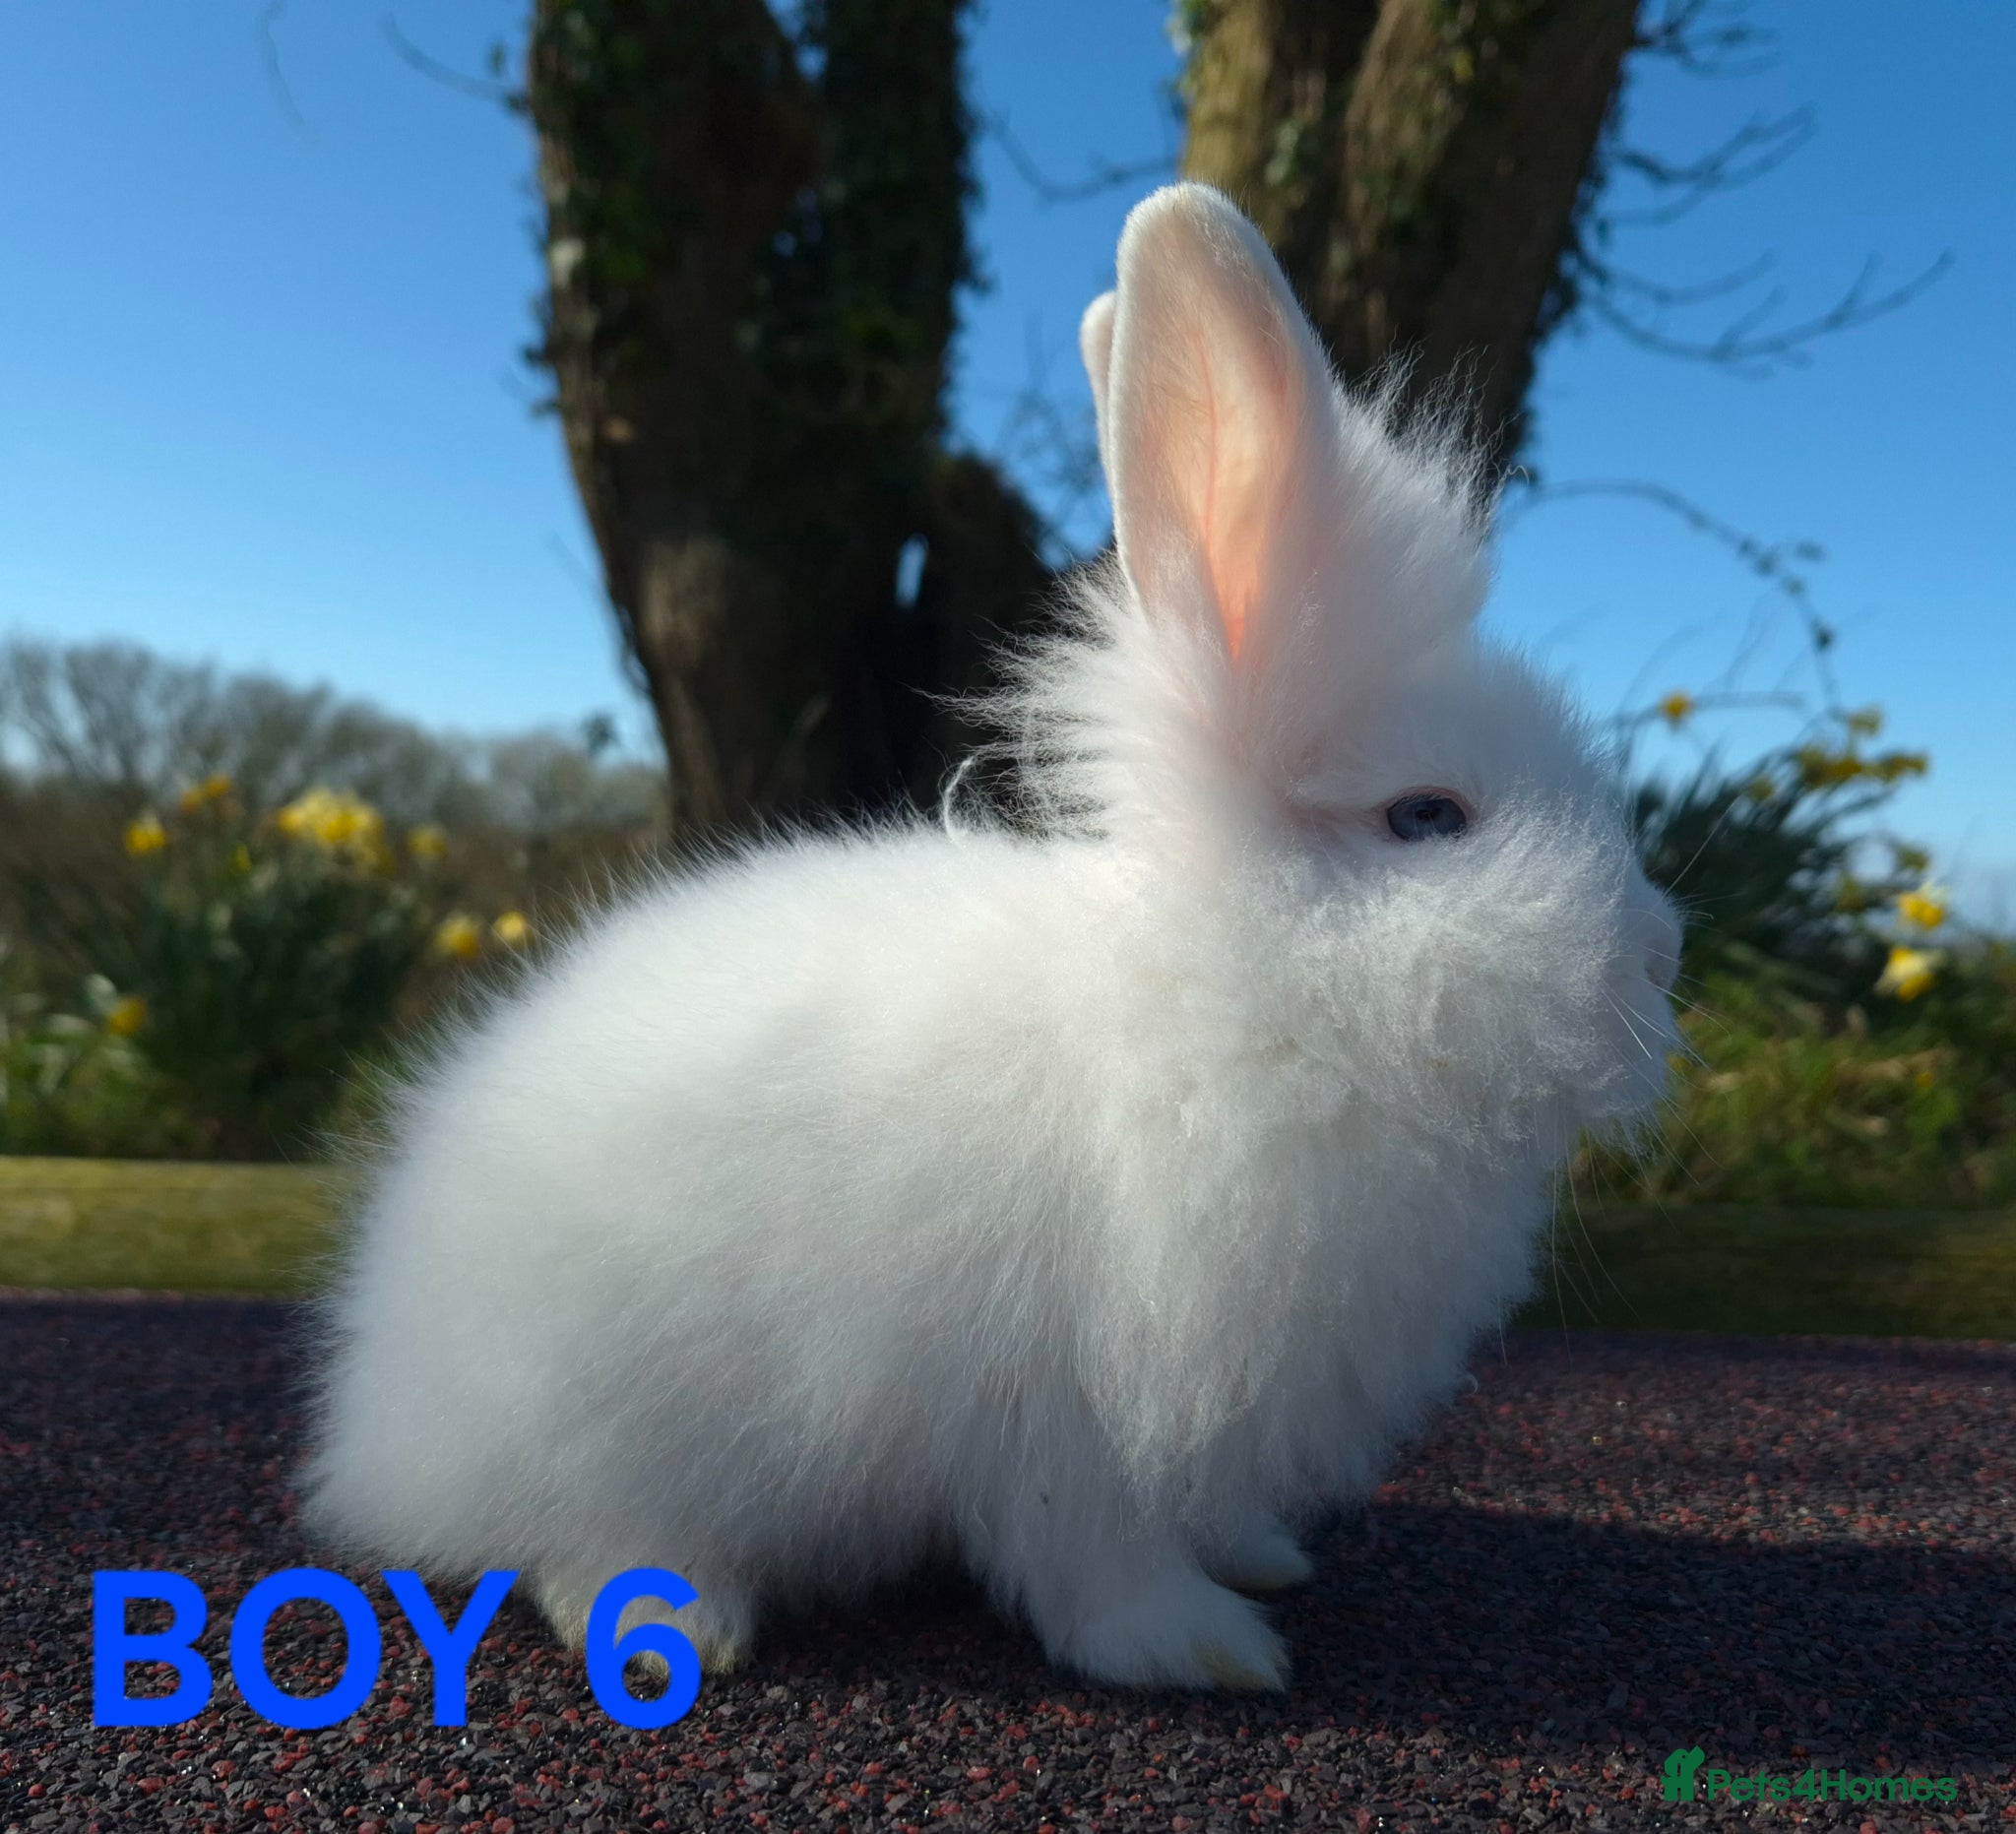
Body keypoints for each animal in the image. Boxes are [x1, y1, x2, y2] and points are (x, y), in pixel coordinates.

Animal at [300, 182, 1682, 1694]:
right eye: (1427, 815)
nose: (1663, 952)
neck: (1238, 997)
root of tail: (381, 1424)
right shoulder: (1082, 1402)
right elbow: (1096, 1559)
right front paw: (1208, 1647)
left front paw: (1260, 1558)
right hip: (600, 1420)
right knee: (572, 1538)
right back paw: (677, 1628)